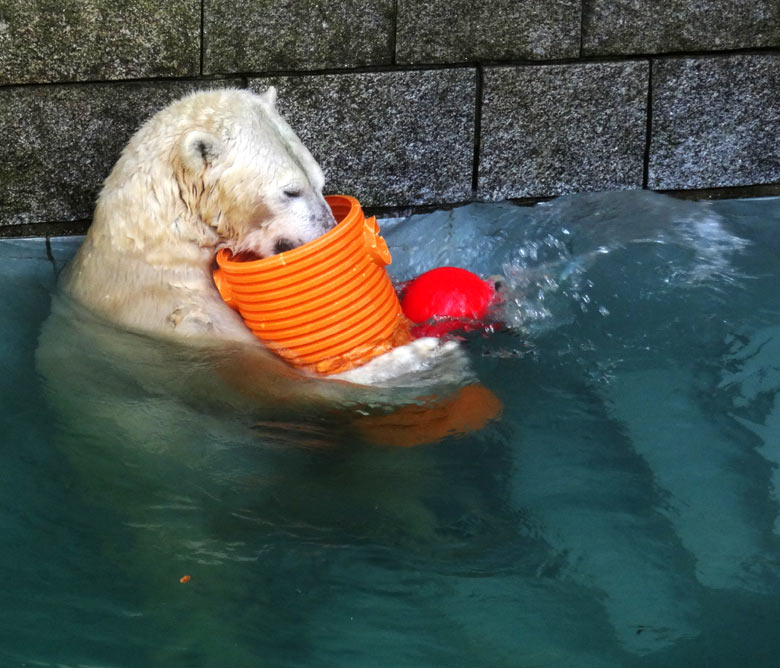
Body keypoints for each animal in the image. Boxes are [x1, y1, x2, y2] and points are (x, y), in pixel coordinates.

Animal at [59, 86, 470, 394]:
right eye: (290, 191)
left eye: (319, 181)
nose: (329, 231)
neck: (158, 247)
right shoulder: (181, 318)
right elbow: (279, 381)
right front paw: (422, 358)